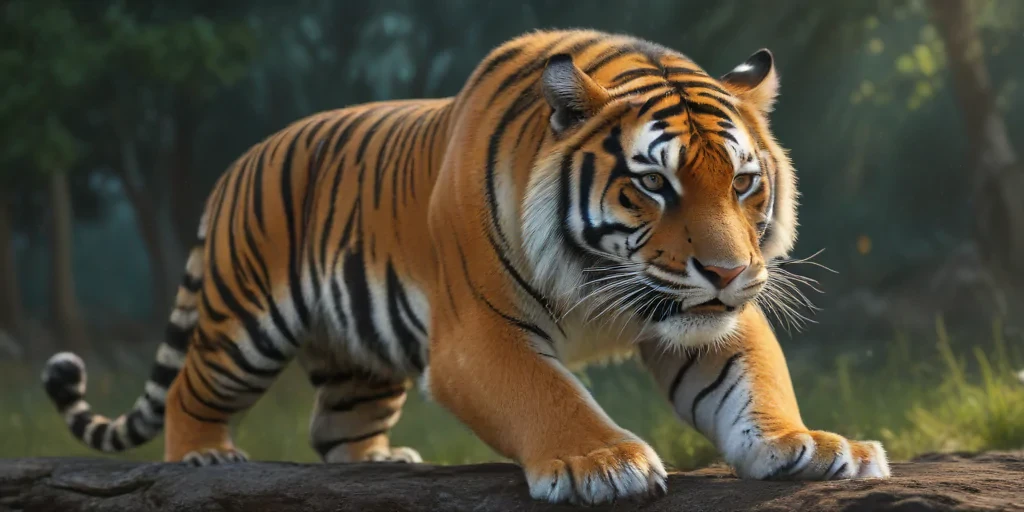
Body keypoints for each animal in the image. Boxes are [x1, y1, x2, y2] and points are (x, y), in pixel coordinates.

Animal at [42, 28, 890, 505]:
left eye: (743, 183)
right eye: (655, 184)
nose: (726, 271)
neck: (602, 278)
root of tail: (237, 164)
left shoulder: (708, 320)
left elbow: (756, 384)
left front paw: (811, 446)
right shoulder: (480, 334)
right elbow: (549, 395)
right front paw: (601, 461)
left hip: (360, 358)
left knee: (334, 427)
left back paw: (383, 464)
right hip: (243, 323)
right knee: (191, 386)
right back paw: (204, 456)